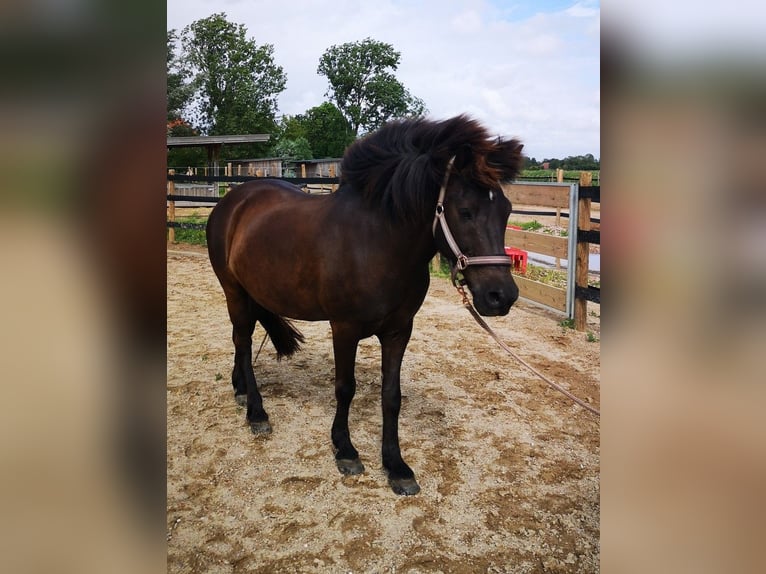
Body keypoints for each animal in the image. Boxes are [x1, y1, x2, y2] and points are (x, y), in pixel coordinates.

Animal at [206, 115, 523, 495]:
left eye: (506, 210)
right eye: (465, 212)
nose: (500, 296)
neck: (377, 243)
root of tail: (232, 200)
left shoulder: (399, 331)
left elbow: (391, 395)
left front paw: (396, 467)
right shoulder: (344, 328)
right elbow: (346, 388)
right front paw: (345, 450)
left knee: (240, 341)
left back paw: (240, 389)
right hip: (234, 290)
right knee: (243, 340)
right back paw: (256, 412)